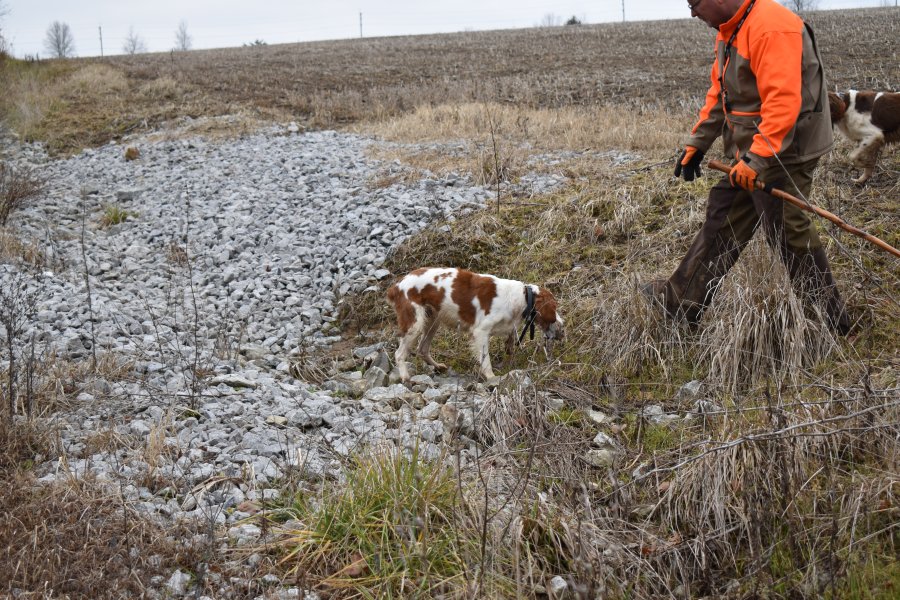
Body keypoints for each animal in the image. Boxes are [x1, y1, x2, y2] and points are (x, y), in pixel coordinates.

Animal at [386, 268, 564, 382]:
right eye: (554, 308)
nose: (562, 326)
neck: (522, 298)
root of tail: (396, 286)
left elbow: (510, 337)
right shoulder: (481, 332)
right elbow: (486, 360)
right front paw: (492, 377)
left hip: (432, 321)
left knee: (422, 349)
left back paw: (437, 366)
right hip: (415, 324)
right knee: (399, 354)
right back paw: (405, 377)